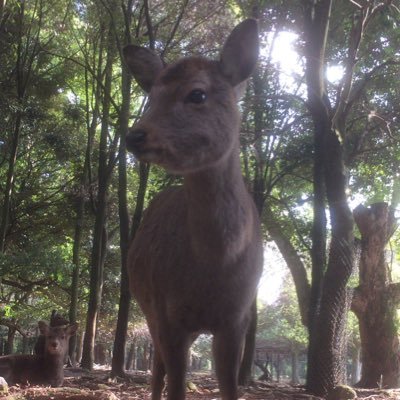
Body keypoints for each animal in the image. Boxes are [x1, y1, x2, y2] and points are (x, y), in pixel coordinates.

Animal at [123, 19, 264, 400]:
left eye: (197, 94)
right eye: (152, 96)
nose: (134, 135)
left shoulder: (238, 315)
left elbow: (229, 384)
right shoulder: (167, 309)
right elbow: (175, 383)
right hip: (148, 306)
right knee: (157, 369)